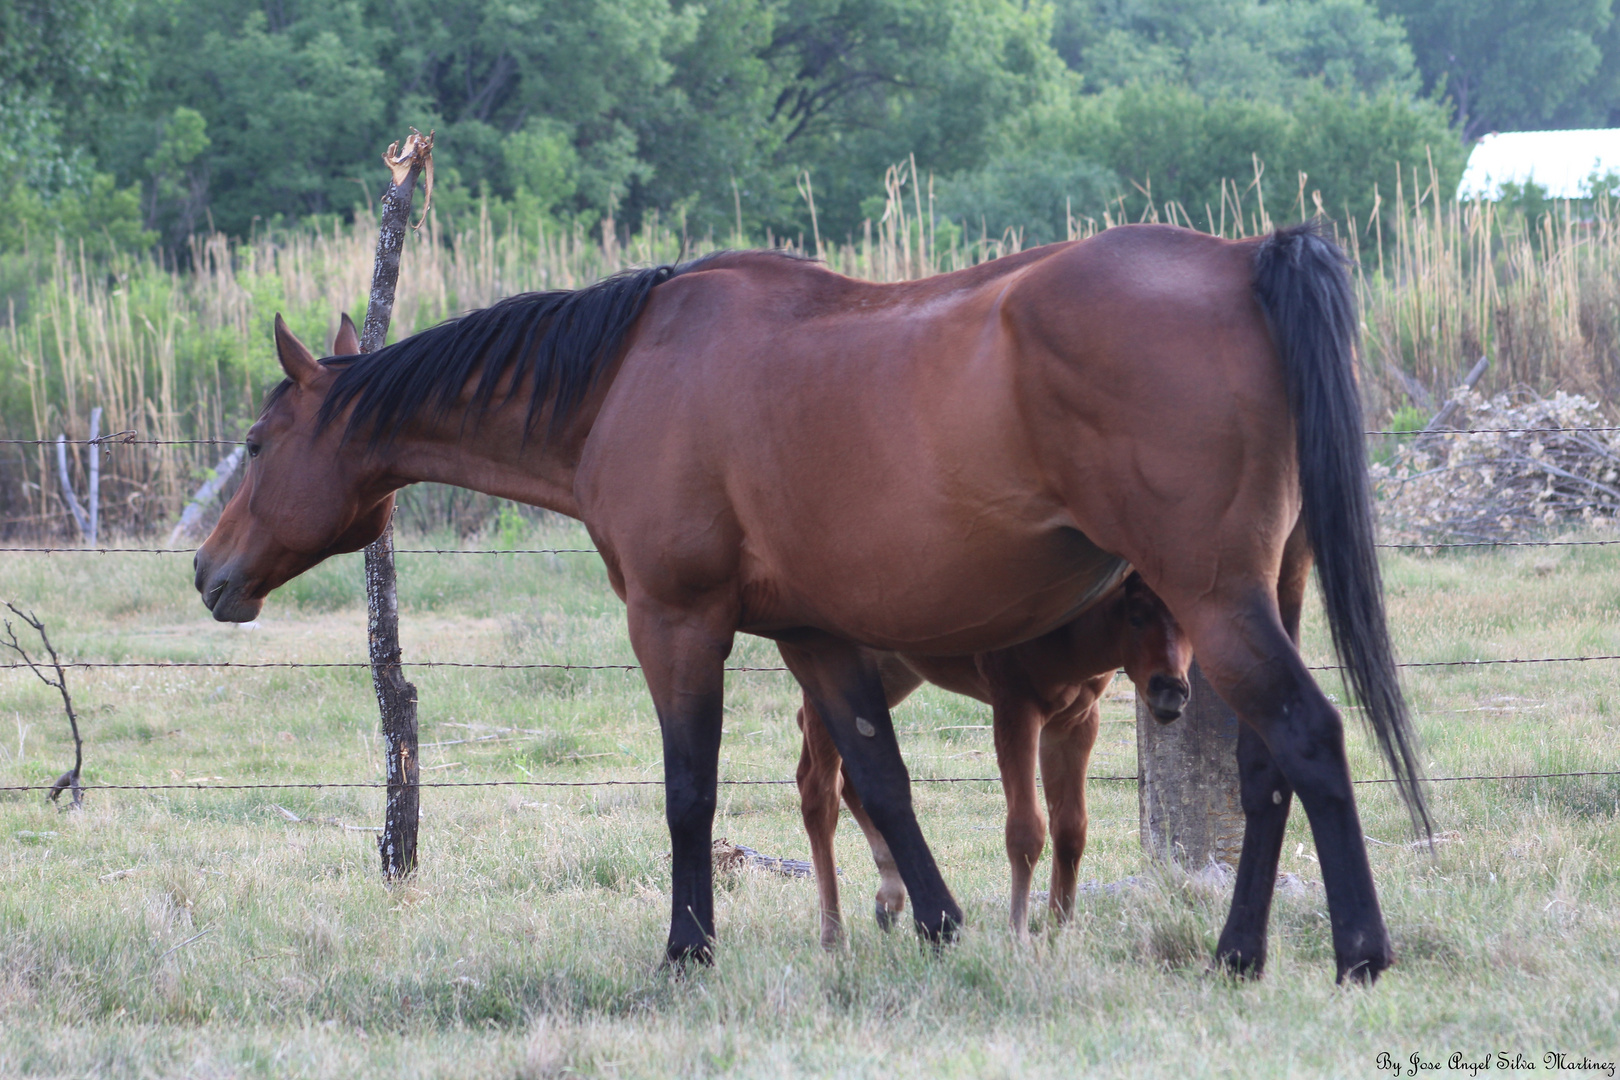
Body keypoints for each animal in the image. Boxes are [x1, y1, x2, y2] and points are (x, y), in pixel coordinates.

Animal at [797, 573, 1192, 945]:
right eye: (1136, 617)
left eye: (1190, 626)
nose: (1171, 691)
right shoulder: (1015, 705)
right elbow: (1026, 829)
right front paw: (1018, 934)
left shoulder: (1077, 720)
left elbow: (1071, 828)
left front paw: (1061, 931)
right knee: (817, 789)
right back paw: (833, 935)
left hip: (891, 671)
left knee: (844, 763)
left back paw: (889, 896)